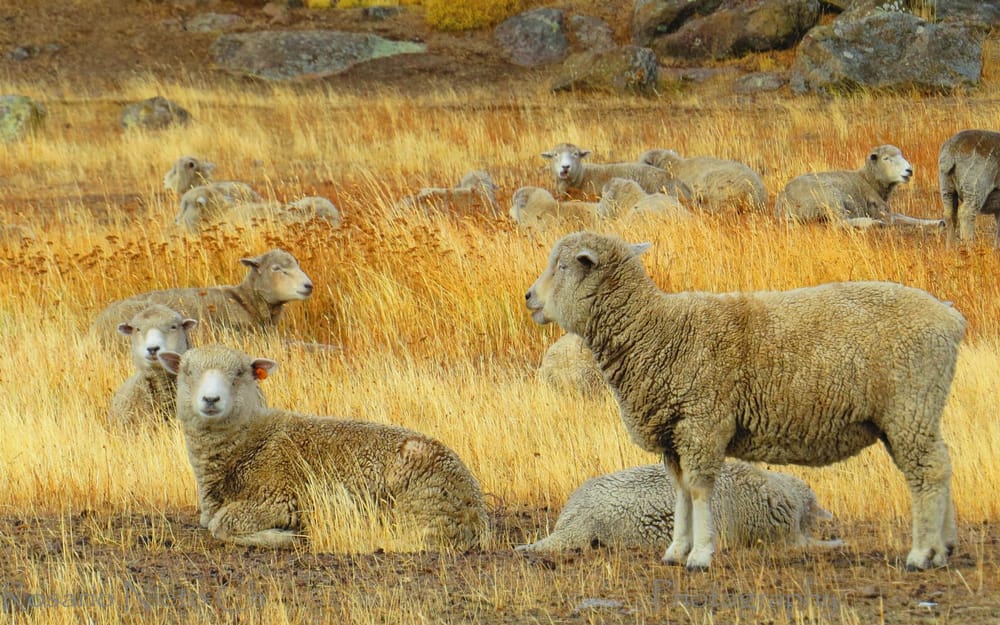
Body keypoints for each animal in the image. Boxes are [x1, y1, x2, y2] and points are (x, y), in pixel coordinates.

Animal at [157, 344, 489, 550]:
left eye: (239, 373)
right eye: (186, 372)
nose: (210, 399)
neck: (246, 443)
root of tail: (476, 510)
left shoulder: (276, 498)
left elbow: (220, 524)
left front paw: (284, 537)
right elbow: (212, 522)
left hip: (417, 510)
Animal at [775, 145, 941, 229]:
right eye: (886, 158)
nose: (909, 170)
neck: (868, 179)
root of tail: (783, 200)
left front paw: (937, 222)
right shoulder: (881, 211)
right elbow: (898, 218)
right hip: (830, 197)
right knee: (838, 223)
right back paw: (873, 223)